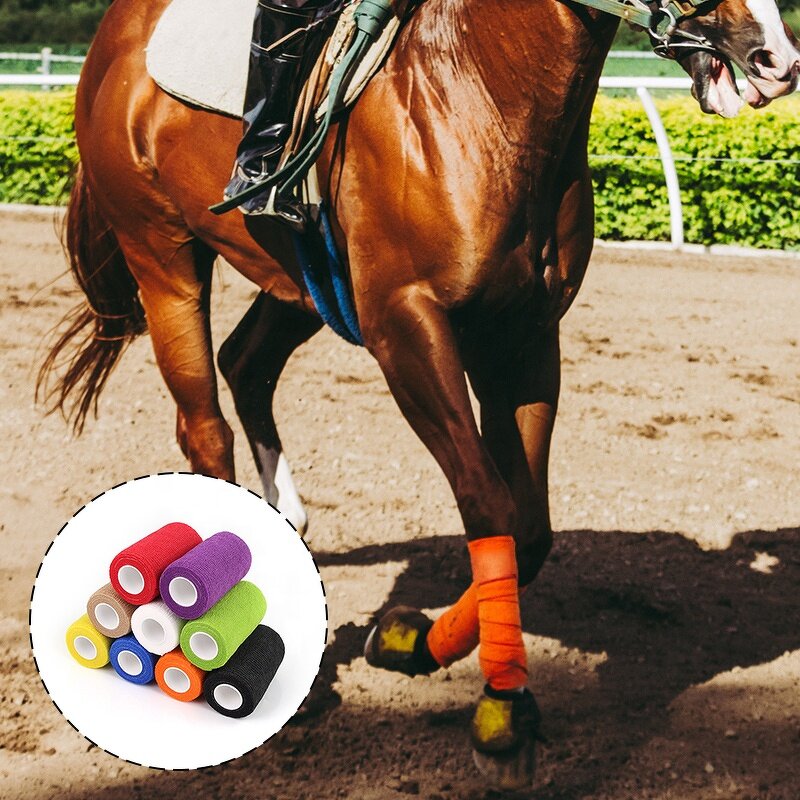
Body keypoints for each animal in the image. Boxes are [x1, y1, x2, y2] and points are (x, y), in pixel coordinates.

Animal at [40, 0, 799, 786]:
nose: (774, 58)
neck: (482, 94)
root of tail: (113, 38)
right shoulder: (406, 326)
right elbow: (487, 500)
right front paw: (502, 712)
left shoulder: (522, 336)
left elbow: (530, 527)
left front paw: (411, 640)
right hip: (161, 256)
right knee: (203, 426)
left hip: (296, 281)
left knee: (246, 364)